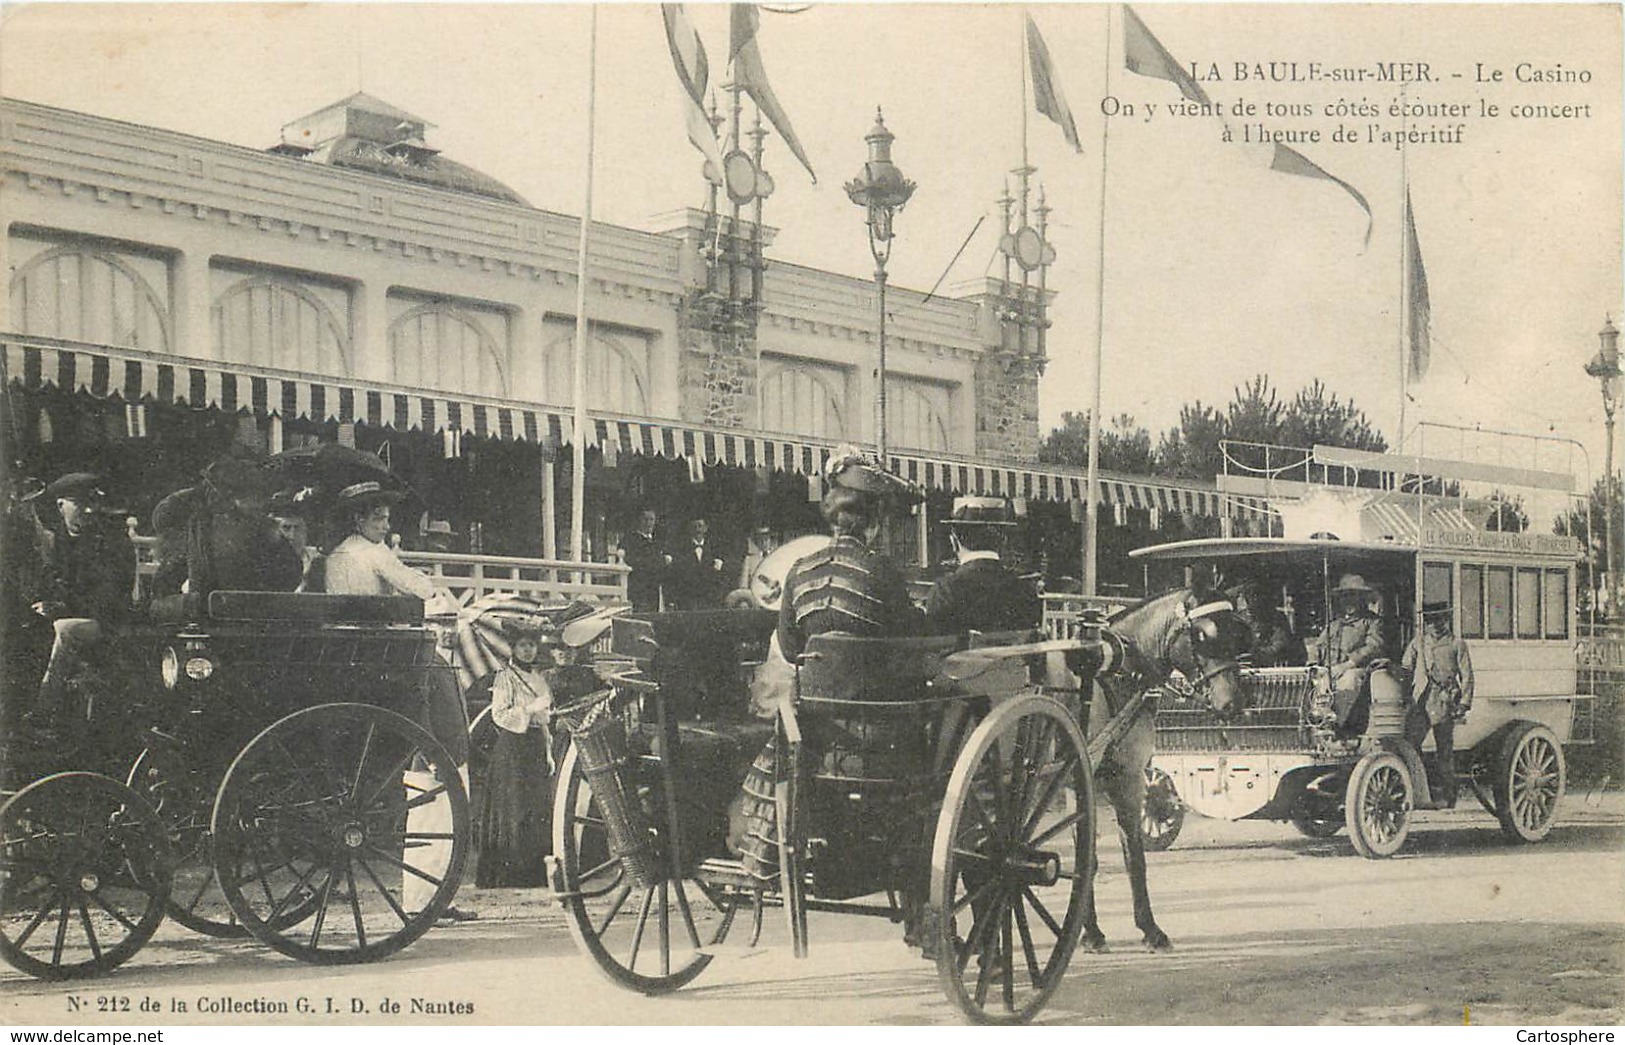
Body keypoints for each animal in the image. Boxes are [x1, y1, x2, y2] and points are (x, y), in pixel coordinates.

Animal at [1079, 585, 1254, 955]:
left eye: (1238, 633)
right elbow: (1113, 858)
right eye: (1202, 636)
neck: (1112, 674)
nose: (1232, 704)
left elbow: (1116, 857)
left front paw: (1117, 930)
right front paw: (1117, 931)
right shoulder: (1106, 781)